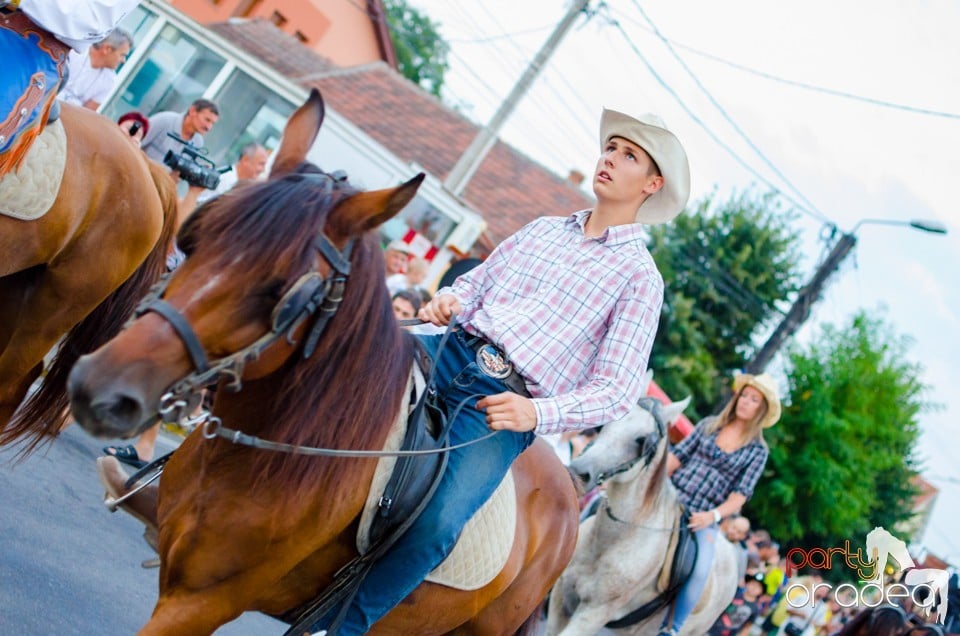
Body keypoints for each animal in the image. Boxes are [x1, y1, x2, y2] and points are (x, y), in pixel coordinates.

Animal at [544, 372, 740, 636]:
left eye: (641, 440)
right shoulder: (560, 599)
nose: (579, 473)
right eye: (605, 424)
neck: (611, 541)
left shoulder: (592, 615)